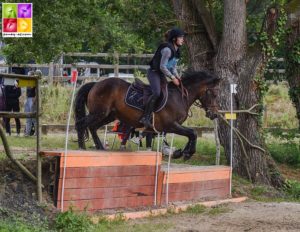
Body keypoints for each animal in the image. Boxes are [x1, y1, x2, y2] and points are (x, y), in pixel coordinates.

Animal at [74, 71, 220, 160]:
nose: (214, 114)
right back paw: (82, 148)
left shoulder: (169, 127)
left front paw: (181, 152)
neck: (180, 97)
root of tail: (96, 84)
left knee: (92, 127)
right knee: (81, 124)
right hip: (99, 113)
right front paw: (187, 153)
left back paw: (100, 147)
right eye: (214, 94)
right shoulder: (170, 125)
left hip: (108, 115)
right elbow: (192, 133)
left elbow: (190, 134)